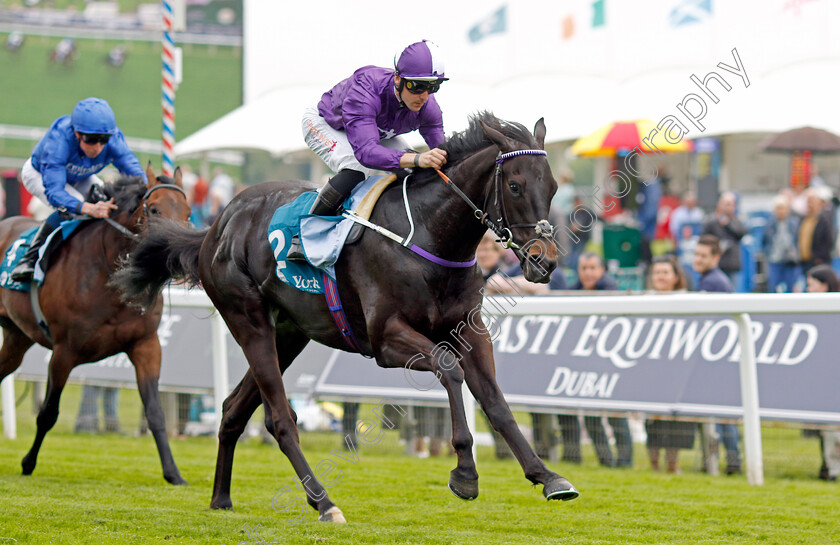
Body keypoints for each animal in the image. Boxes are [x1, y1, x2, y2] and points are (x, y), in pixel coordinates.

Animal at [0, 167, 190, 484]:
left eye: (188, 212)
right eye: (154, 209)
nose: (175, 259)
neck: (109, 277)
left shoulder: (146, 345)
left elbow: (155, 413)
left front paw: (174, 474)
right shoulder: (64, 352)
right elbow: (48, 413)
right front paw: (28, 463)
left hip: (17, 338)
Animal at [115, 111, 580, 524]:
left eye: (554, 186)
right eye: (515, 185)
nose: (545, 262)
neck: (430, 234)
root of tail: (217, 226)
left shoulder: (470, 330)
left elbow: (496, 401)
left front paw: (547, 476)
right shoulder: (386, 339)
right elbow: (449, 369)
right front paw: (465, 473)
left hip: (290, 333)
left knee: (232, 409)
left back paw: (221, 498)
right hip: (248, 319)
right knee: (279, 419)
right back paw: (324, 503)